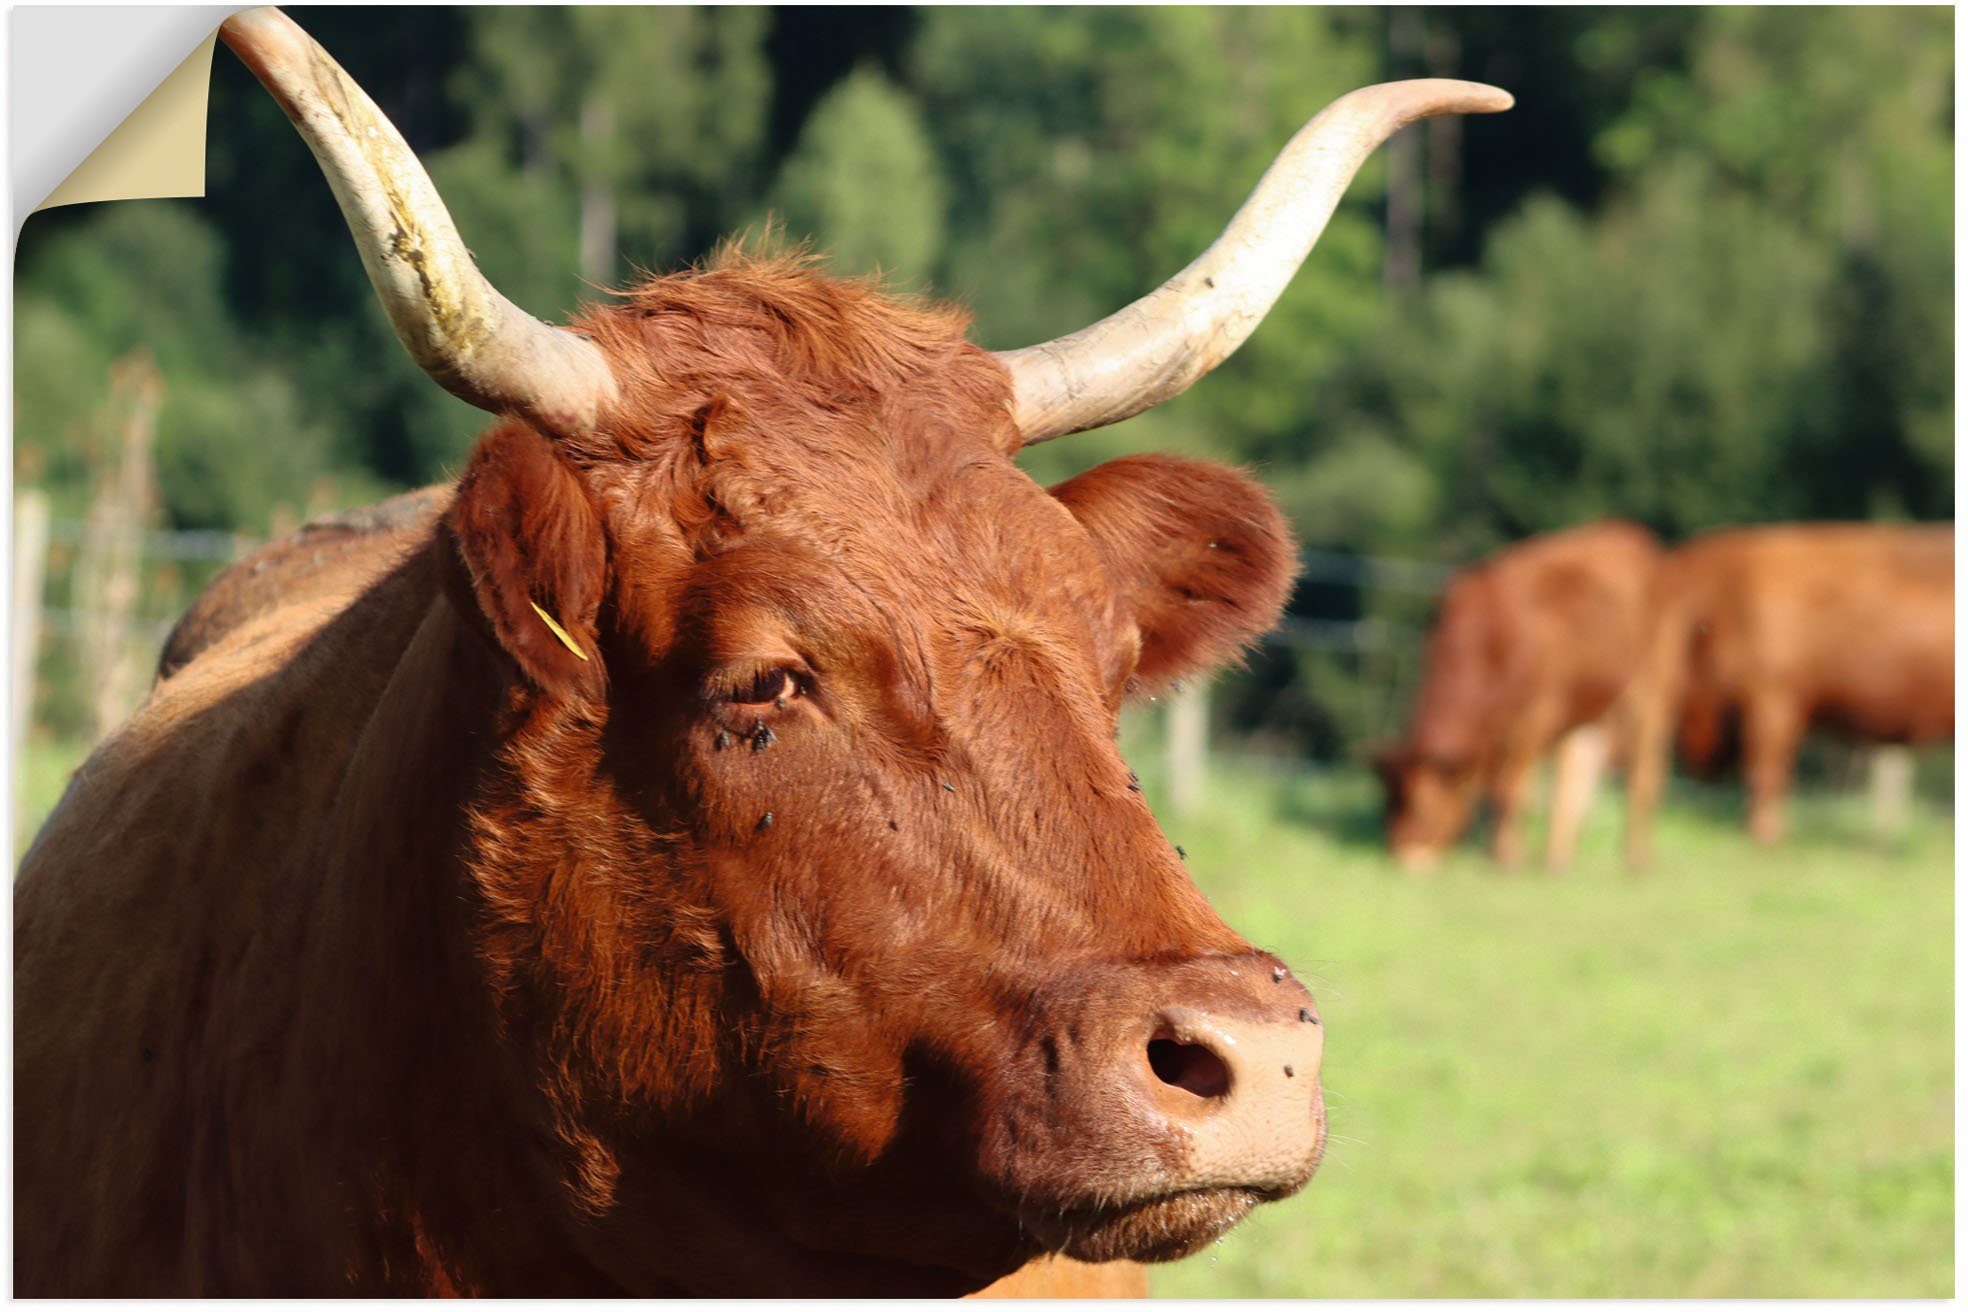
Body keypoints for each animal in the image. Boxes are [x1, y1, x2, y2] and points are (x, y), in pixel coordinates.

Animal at [1377, 519, 1668, 873]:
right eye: (1388, 806)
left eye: (1423, 809)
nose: (1405, 859)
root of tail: (1623, 529)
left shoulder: (1532, 720)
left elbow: (1510, 791)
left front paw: (1506, 857)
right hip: (1587, 701)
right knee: (1576, 770)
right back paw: (1558, 859)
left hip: (1647, 684)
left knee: (1642, 769)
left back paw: (1637, 859)